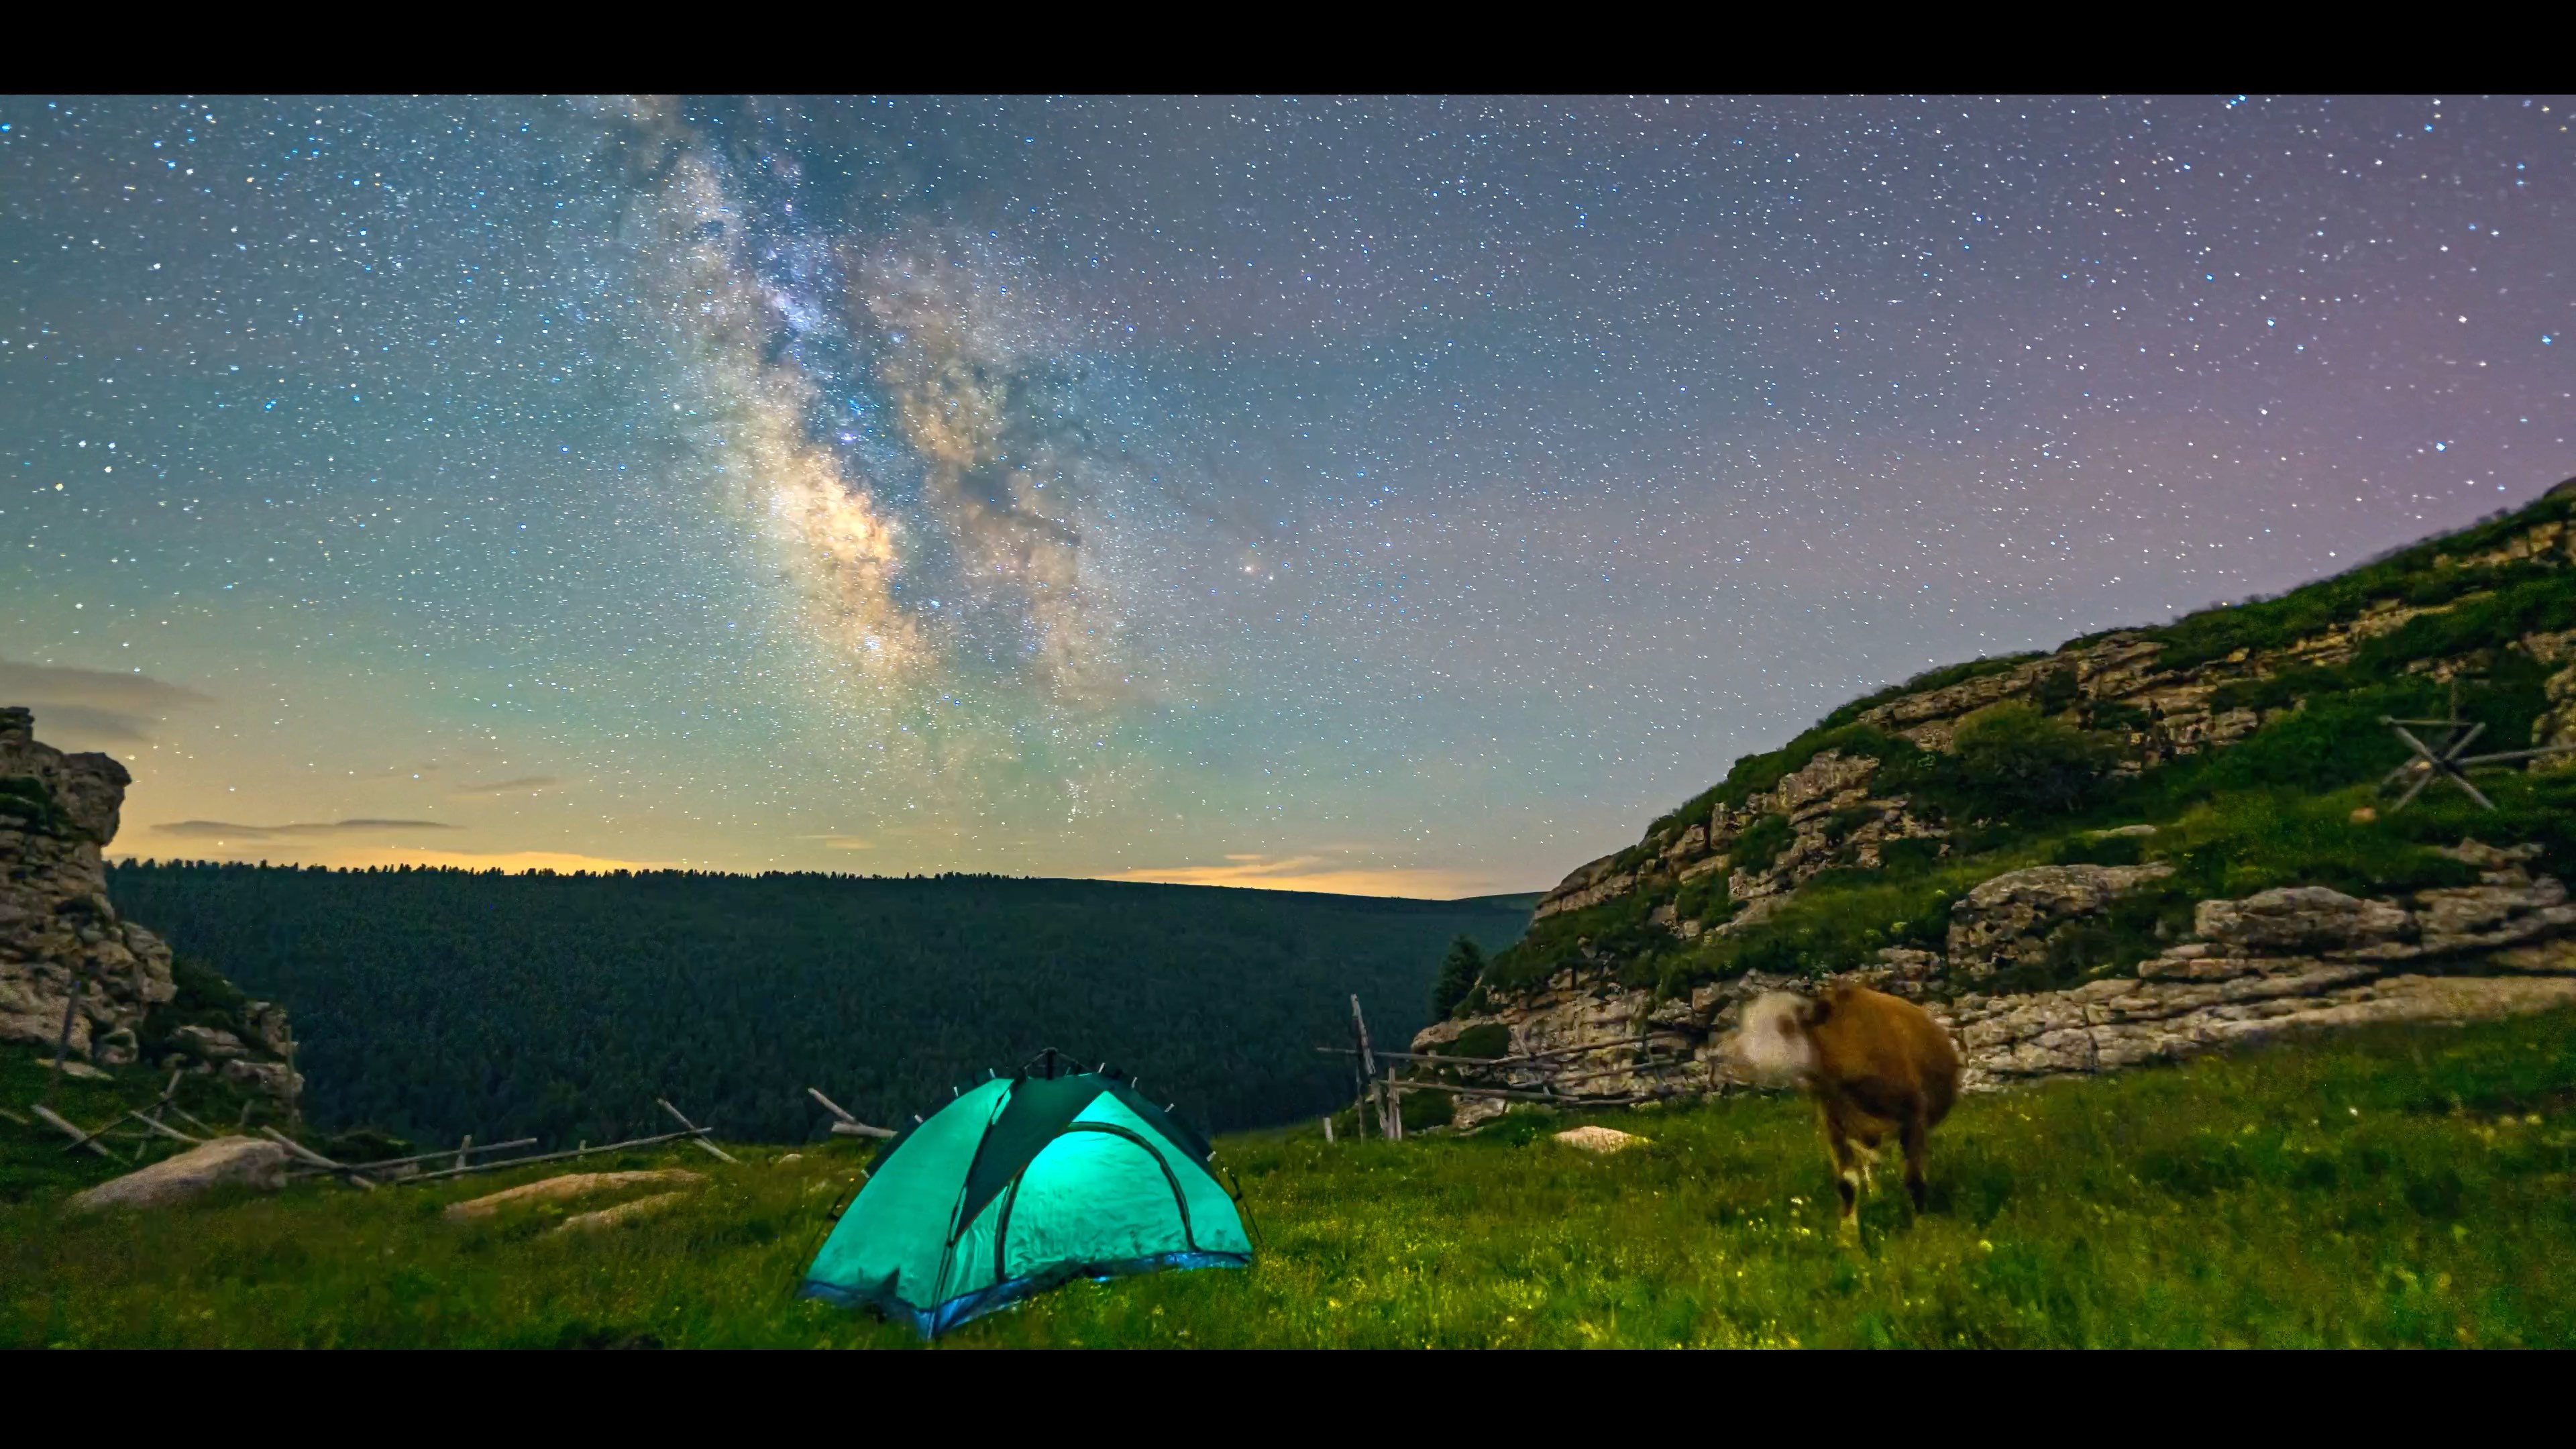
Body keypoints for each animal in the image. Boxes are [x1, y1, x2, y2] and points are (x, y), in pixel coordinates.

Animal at [1721, 979, 1957, 1227]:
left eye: (1786, 1025)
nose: (1734, 1055)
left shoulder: (1915, 1117)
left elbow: (1914, 1179)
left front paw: (1921, 1224)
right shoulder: (1834, 1124)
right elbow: (1847, 1183)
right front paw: (1848, 1232)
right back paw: (1876, 1194)